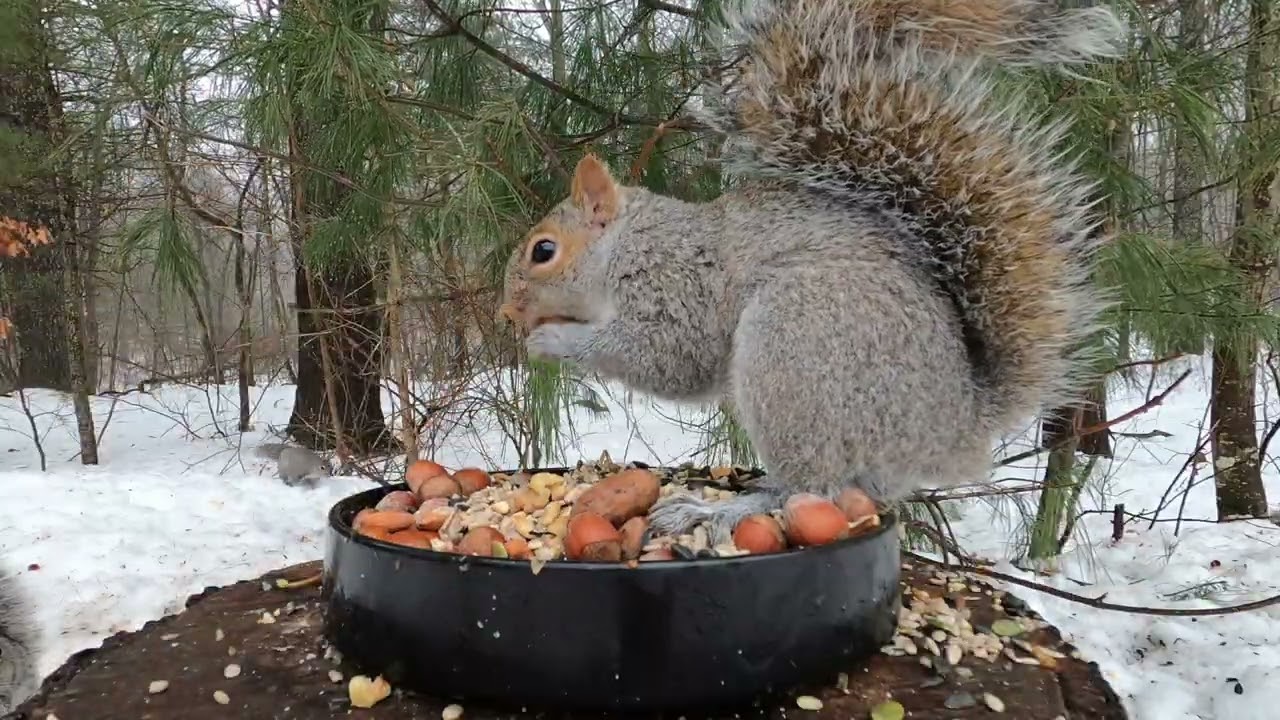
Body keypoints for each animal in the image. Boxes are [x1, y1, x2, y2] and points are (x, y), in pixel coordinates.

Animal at [499, 0, 1124, 542]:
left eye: (543, 251)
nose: (506, 311)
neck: (629, 247)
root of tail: (958, 429)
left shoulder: (678, 286)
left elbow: (671, 358)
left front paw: (553, 341)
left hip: (797, 348)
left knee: (812, 487)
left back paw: (719, 509)